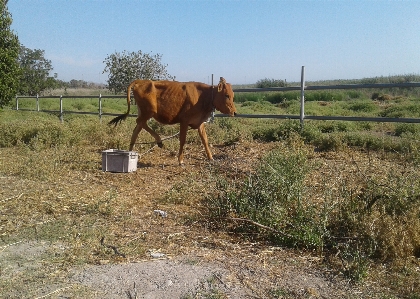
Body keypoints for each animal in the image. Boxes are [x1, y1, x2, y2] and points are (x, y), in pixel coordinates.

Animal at [108, 77, 236, 165]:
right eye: (226, 95)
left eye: (232, 95)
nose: (235, 112)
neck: (203, 96)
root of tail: (141, 81)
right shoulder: (184, 121)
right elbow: (182, 141)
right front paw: (180, 160)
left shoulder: (199, 123)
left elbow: (205, 140)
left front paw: (210, 157)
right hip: (148, 111)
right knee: (139, 122)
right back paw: (158, 140)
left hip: (144, 112)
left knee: (137, 129)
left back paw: (131, 152)